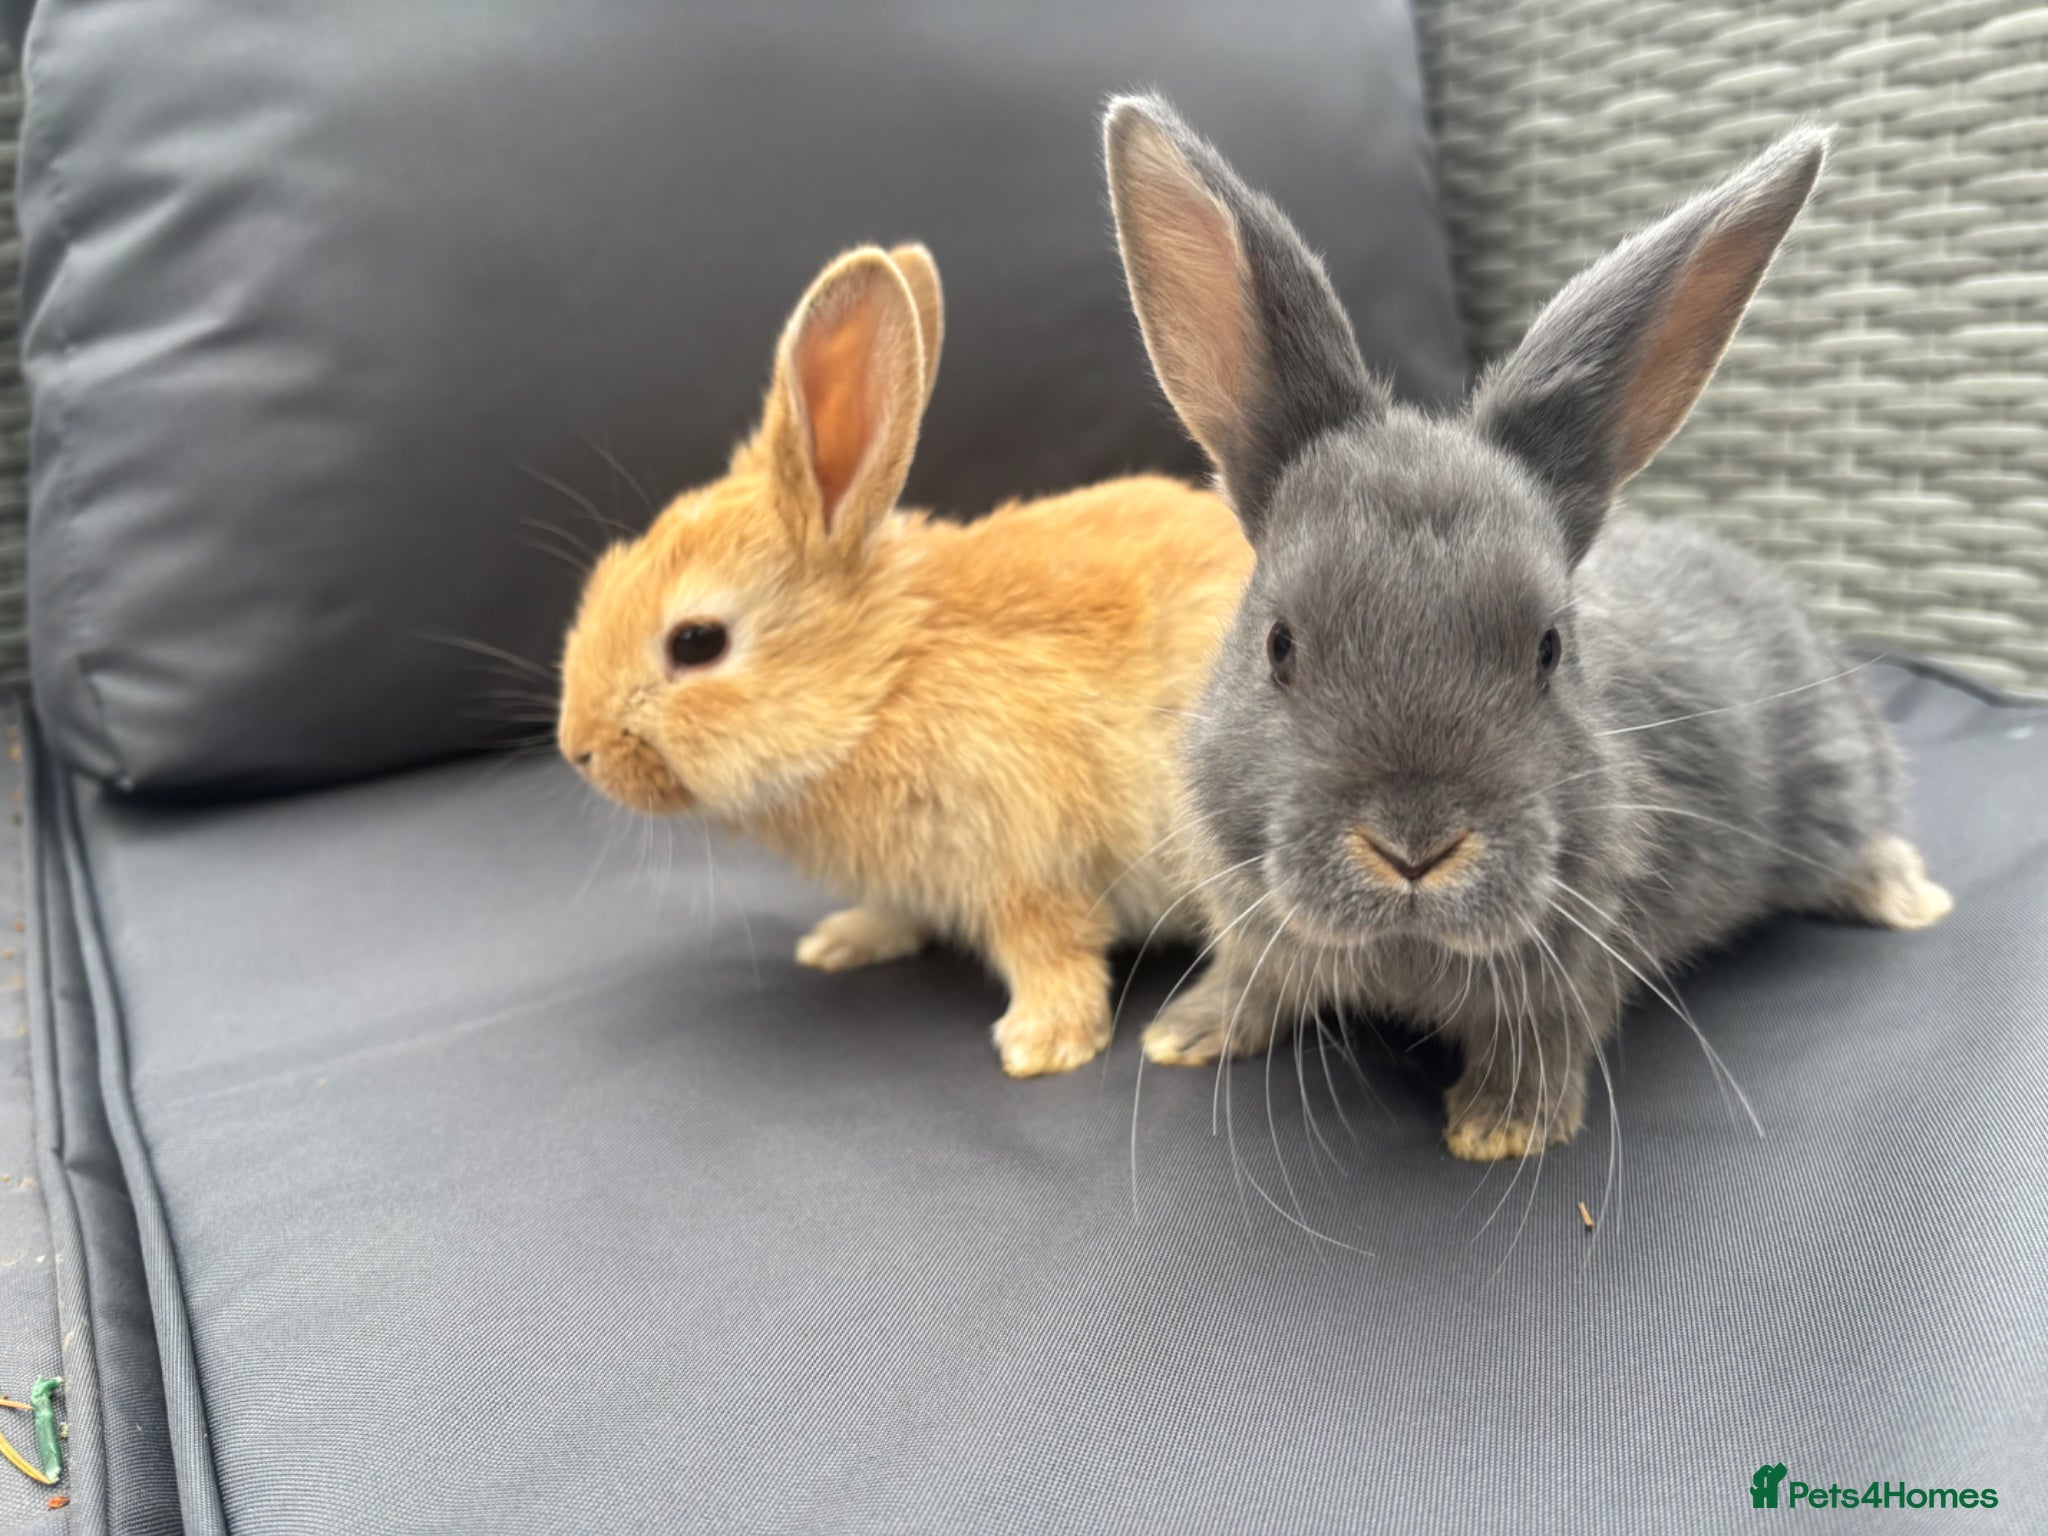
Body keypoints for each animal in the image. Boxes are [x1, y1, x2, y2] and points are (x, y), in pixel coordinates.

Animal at [557, 242, 1254, 1077]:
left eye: (697, 642)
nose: (578, 748)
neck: (885, 684)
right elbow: (899, 911)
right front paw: (841, 943)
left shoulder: (1023, 860)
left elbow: (1050, 947)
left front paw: (1042, 1046)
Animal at [1100, 94, 1951, 1160]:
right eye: (1278, 645)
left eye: (1548, 650)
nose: (1413, 849)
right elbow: (1257, 982)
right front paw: (1186, 1033)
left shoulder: (1576, 969)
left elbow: (1547, 1036)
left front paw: (1502, 1128)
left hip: (1832, 785)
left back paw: (1909, 898)